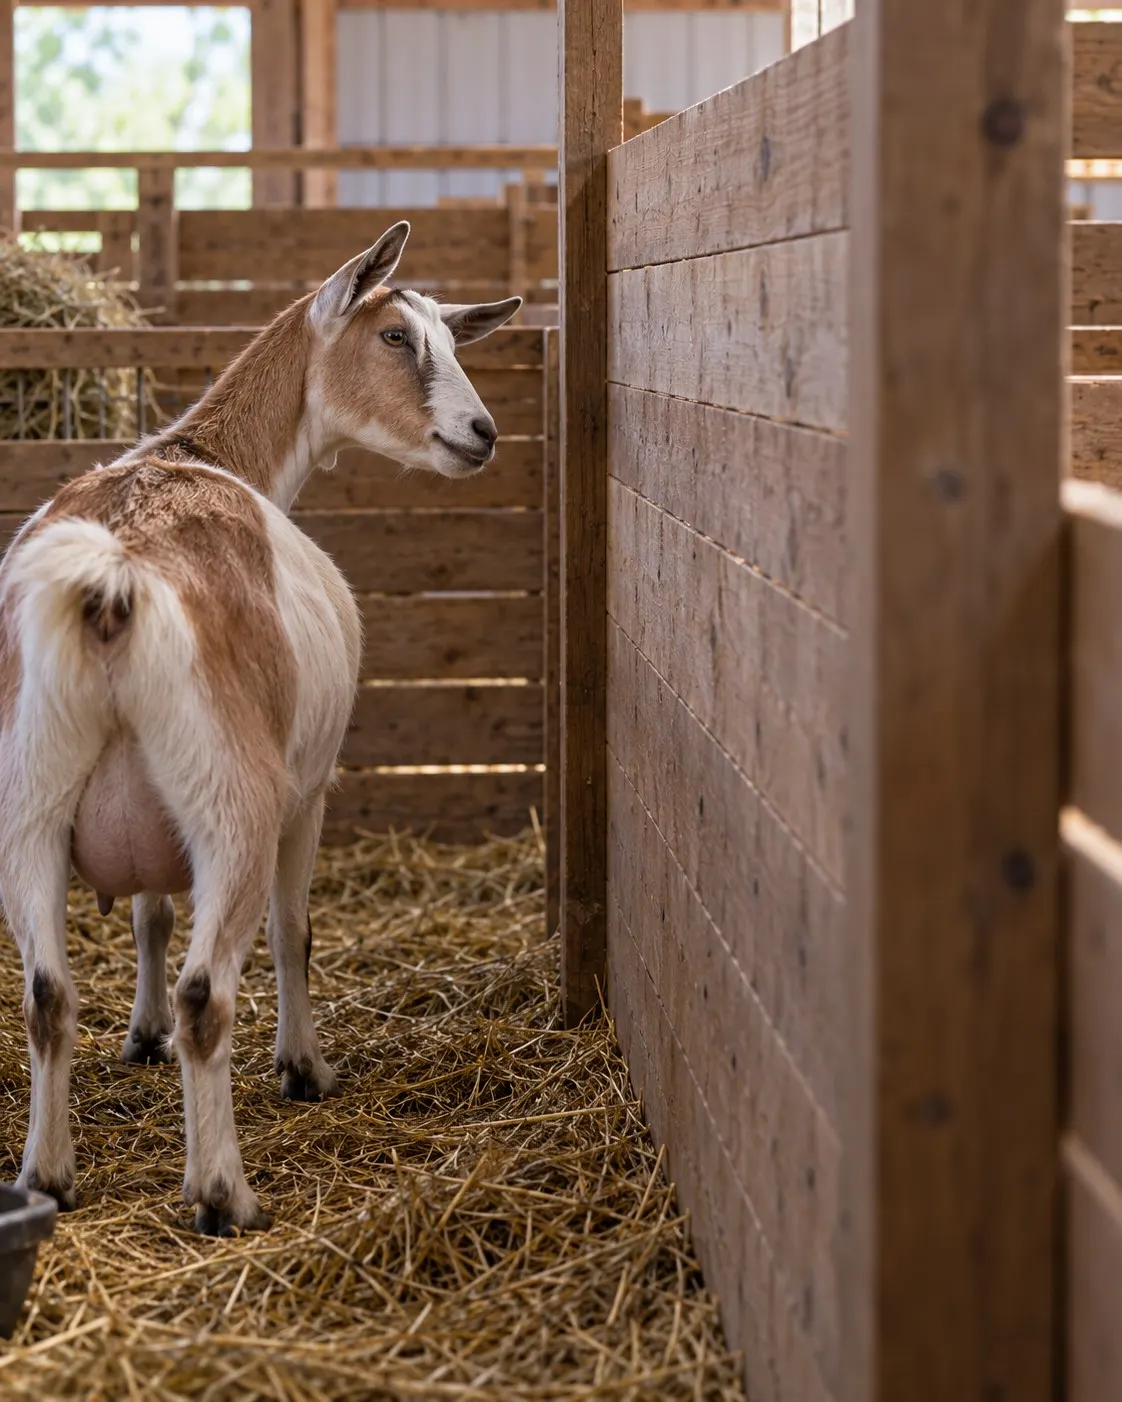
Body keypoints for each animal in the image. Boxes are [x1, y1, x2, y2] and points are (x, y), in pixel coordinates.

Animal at [0, 222, 521, 1234]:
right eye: (395, 337)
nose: (480, 435)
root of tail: (115, 578)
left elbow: (150, 912)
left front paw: (142, 1035)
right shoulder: (308, 791)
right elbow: (294, 931)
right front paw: (305, 1067)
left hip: (30, 796)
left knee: (46, 995)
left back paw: (47, 1177)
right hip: (231, 799)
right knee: (210, 993)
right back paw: (223, 1192)